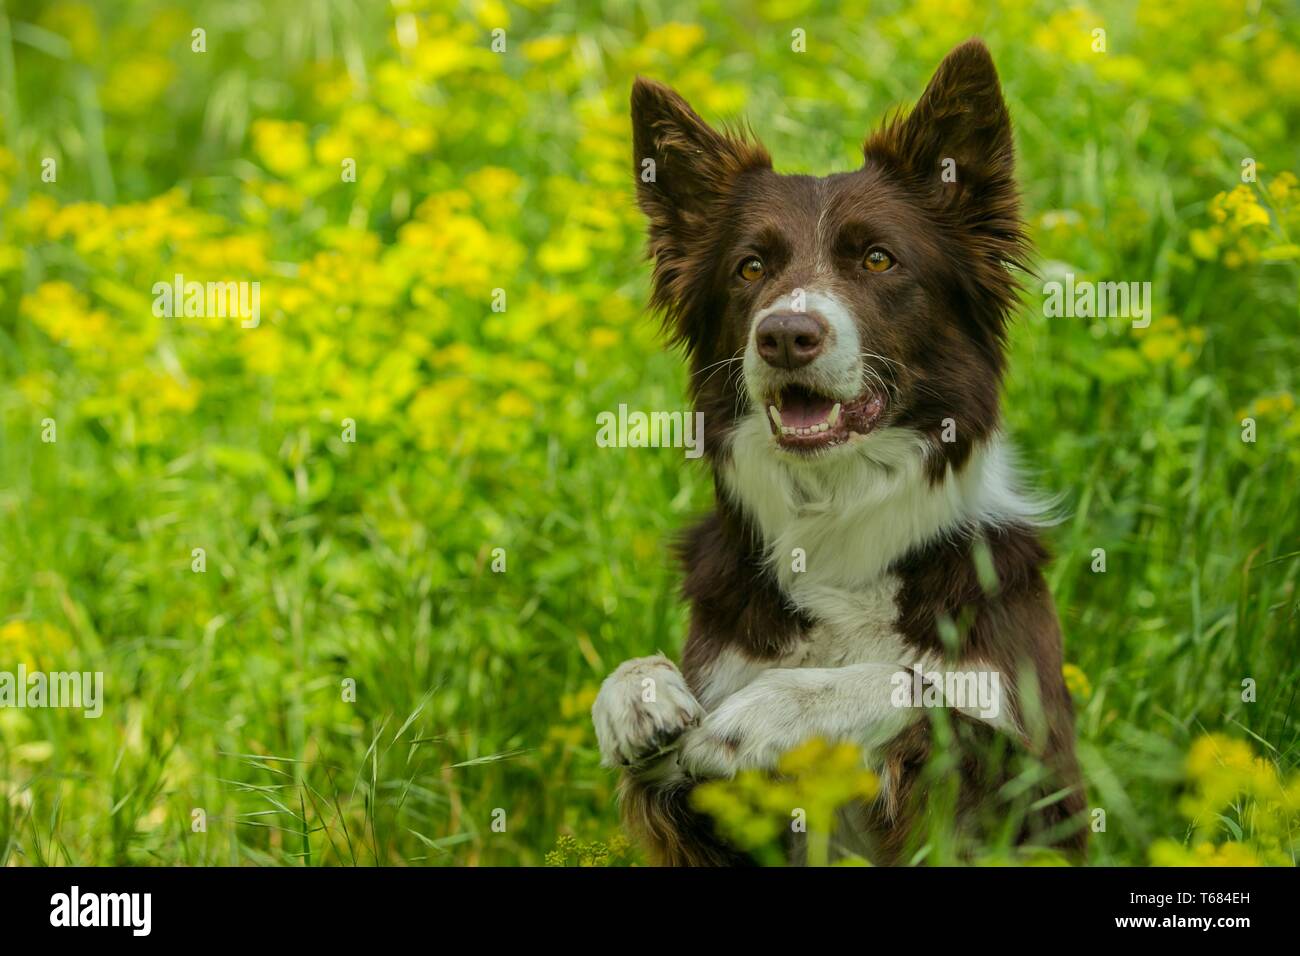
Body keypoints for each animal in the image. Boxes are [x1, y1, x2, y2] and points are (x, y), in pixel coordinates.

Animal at [595, 39, 1081, 868]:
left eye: (879, 260)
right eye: (751, 268)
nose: (786, 334)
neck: (835, 523)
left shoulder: (1046, 789)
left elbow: (907, 684)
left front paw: (771, 712)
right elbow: (642, 696)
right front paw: (638, 696)